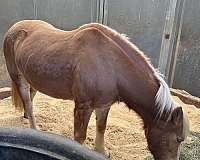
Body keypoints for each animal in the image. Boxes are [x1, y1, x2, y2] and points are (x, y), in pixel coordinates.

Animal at [3, 20, 190, 160]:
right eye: (178, 139)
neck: (111, 65)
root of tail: (13, 28)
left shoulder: (104, 105)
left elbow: (101, 127)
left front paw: (101, 151)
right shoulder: (83, 107)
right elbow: (79, 137)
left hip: (33, 78)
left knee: (30, 99)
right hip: (19, 77)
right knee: (27, 102)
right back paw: (35, 128)